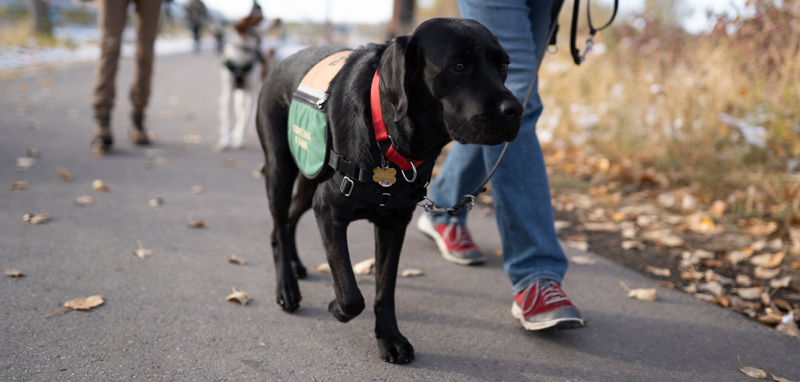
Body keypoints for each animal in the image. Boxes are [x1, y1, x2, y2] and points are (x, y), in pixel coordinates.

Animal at [216, 16, 272, 151]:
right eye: (260, 20)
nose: (277, 21)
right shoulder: (227, 94)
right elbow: (227, 119)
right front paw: (224, 141)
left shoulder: (251, 93)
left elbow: (246, 120)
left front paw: (240, 139)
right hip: (239, 96)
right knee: (240, 114)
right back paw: (233, 134)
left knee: (245, 116)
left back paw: (238, 135)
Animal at [253, 17, 520, 364]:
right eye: (459, 66)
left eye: (503, 65)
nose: (515, 109)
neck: (390, 139)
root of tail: (281, 61)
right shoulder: (329, 211)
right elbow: (351, 293)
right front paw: (336, 307)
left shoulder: (393, 224)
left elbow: (385, 288)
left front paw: (389, 338)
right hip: (280, 169)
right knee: (277, 230)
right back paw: (286, 286)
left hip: (310, 178)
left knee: (289, 220)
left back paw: (297, 266)